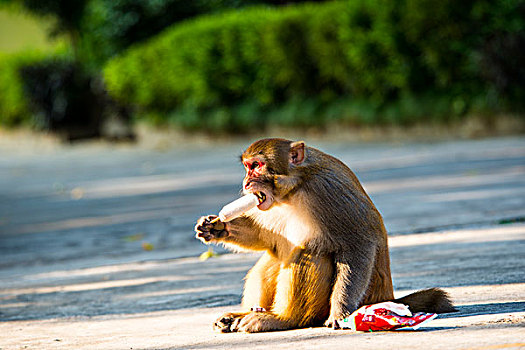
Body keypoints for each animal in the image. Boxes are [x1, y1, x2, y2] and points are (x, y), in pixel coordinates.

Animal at [193, 138, 454, 332]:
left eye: (256, 166)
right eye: (247, 167)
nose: (246, 182)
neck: (294, 189)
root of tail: (385, 299)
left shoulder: (327, 189)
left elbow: (358, 244)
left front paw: (340, 312)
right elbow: (265, 238)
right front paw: (216, 227)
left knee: (309, 251)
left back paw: (281, 319)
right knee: (275, 257)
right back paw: (243, 315)